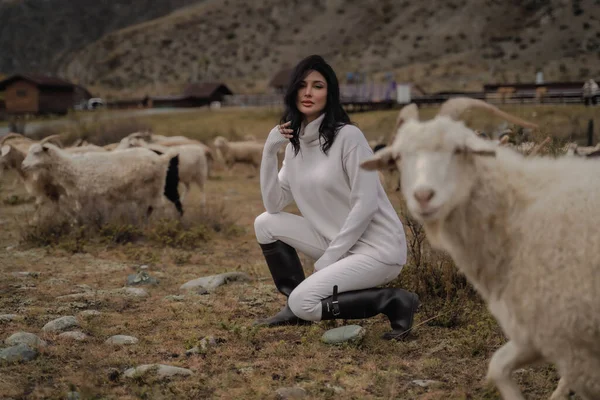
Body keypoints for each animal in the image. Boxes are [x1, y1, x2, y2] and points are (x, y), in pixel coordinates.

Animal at [360, 97, 600, 400]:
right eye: (399, 157)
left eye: (459, 149)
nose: (423, 196)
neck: (517, 212)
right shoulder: (537, 332)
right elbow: (497, 366)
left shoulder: (572, 339)